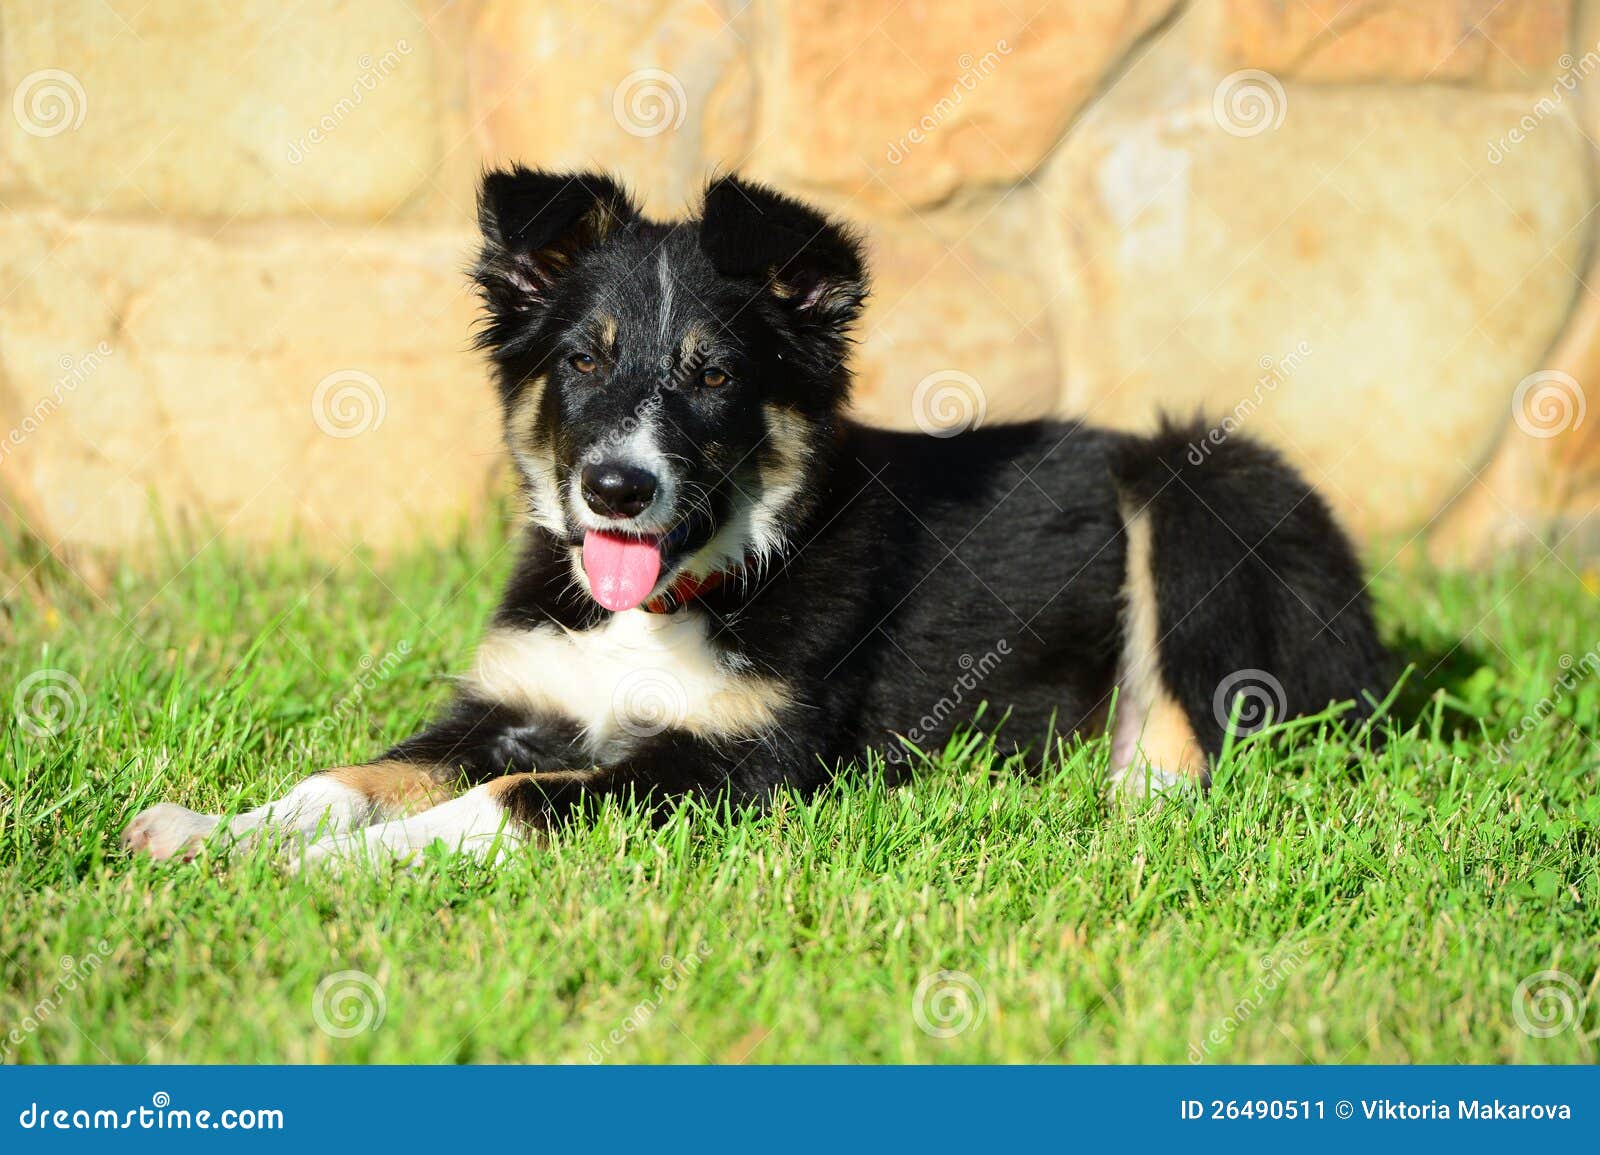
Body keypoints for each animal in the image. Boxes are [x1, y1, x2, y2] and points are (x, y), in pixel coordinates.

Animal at [121, 166, 1388, 857]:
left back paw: (1104, 806)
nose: (616, 488)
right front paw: (215, 833)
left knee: (1184, 744)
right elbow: (349, 779)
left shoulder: (739, 766)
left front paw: (332, 870)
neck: (671, 597)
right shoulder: (514, 700)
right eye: (583, 361)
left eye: (715, 375)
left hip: (1192, 482)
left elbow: (506, 803)